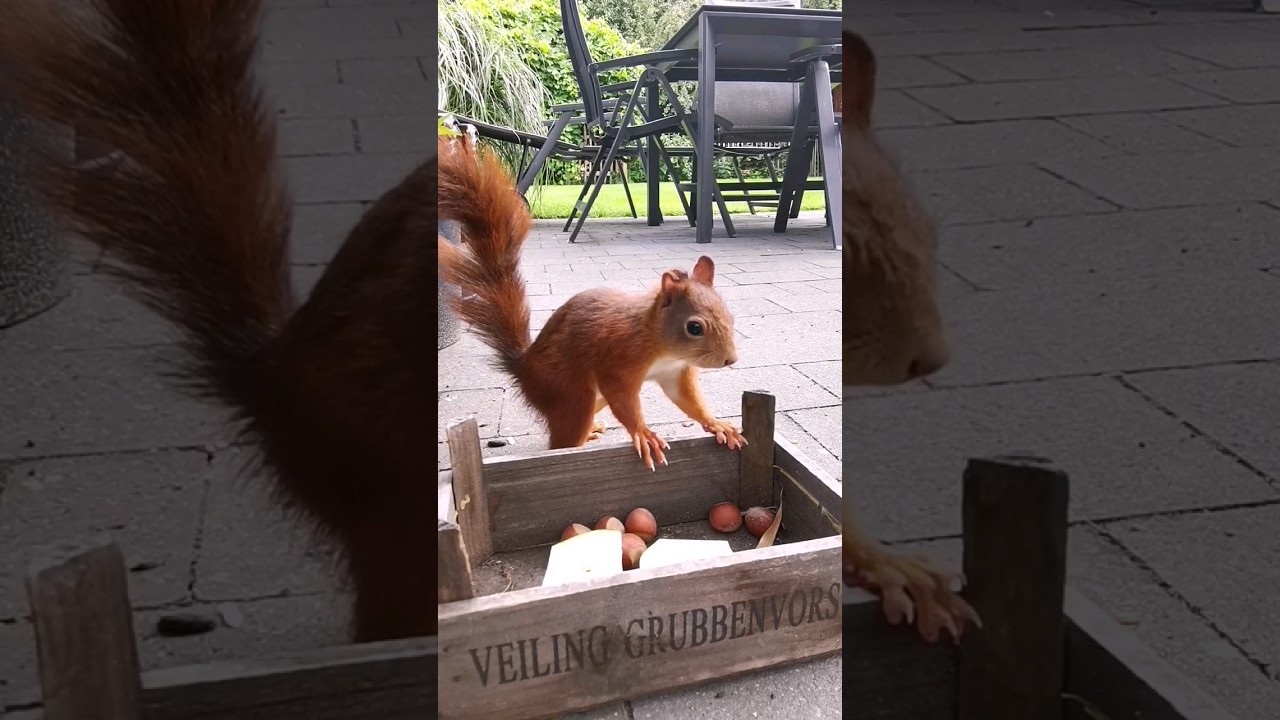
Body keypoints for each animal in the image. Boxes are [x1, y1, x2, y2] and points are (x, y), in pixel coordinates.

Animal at [437, 138, 746, 470]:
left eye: (731, 316)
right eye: (694, 328)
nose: (730, 360)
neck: (660, 344)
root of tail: (524, 368)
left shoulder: (675, 373)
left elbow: (688, 401)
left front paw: (716, 423)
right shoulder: (618, 360)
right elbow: (623, 401)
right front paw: (643, 433)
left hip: (590, 401)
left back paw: (592, 432)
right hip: (572, 396)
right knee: (561, 442)